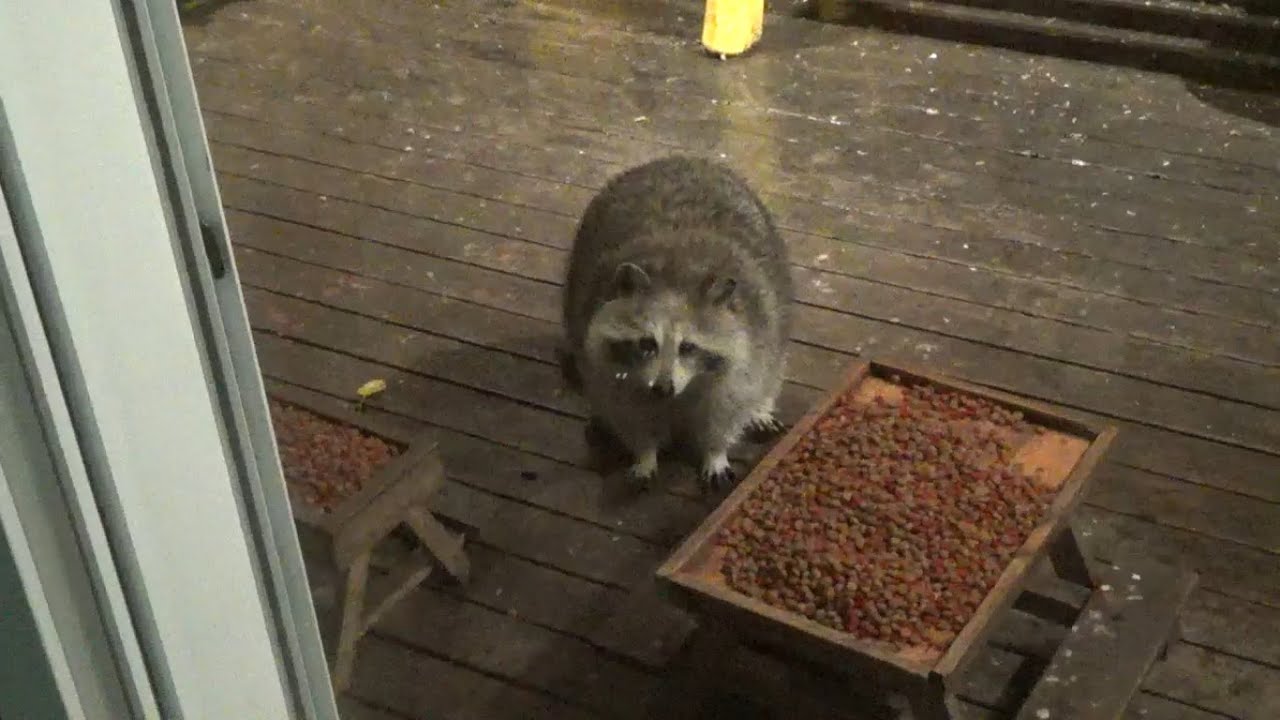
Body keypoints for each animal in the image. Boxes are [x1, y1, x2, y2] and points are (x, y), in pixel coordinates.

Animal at [561, 155, 793, 492]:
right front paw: (644, 452)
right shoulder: (608, 363)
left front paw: (715, 451)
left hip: (778, 304)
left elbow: (727, 410)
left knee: (774, 368)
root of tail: (681, 159)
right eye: (648, 344)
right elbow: (628, 412)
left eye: (688, 347)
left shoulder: (752, 344)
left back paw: (762, 406)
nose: (662, 388)